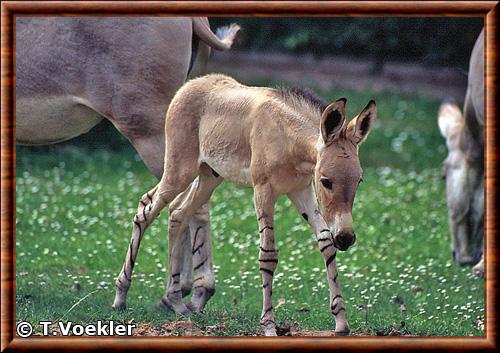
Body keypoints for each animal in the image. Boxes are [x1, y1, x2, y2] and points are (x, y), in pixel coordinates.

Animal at [113, 73, 376, 334]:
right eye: (326, 181)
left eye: (359, 180)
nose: (346, 238)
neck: (286, 139)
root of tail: (192, 83)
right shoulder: (263, 192)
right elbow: (268, 255)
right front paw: (269, 326)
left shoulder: (300, 190)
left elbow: (325, 243)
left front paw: (341, 323)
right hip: (179, 170)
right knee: (147, 210)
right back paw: (120, 298)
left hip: (209, 176)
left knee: (178, 212)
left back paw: (176, 302)